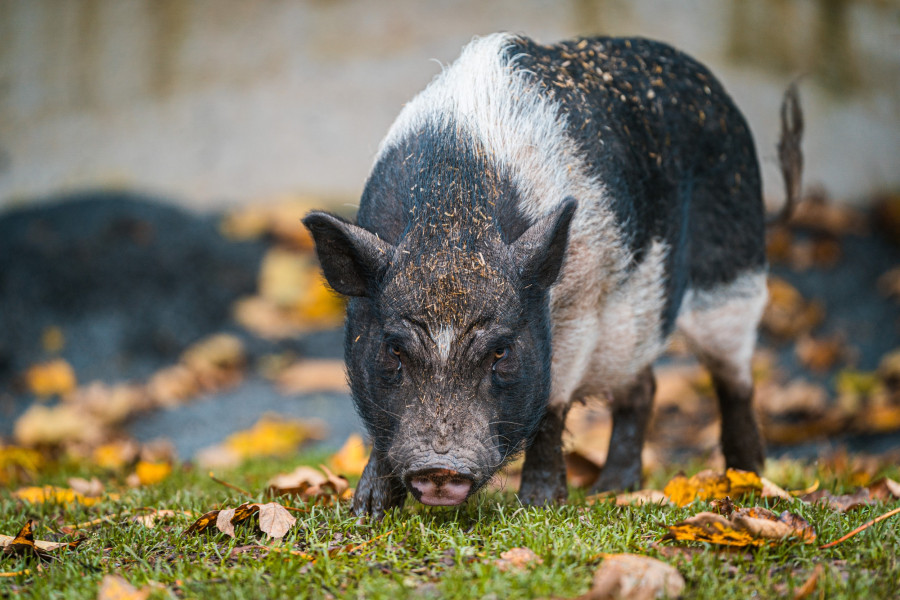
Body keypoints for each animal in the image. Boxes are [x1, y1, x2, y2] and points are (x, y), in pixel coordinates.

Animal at [303, 34, 803, 517]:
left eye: (501, 351)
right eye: (394, 348)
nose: (440, 469)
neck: (452, 222)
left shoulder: (579, 309)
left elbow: (551, 411)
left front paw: (538, 505)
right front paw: (366, 513)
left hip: (734, 276)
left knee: (735, 380)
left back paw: (746, 481)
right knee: (644, 387)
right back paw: (613, 489)